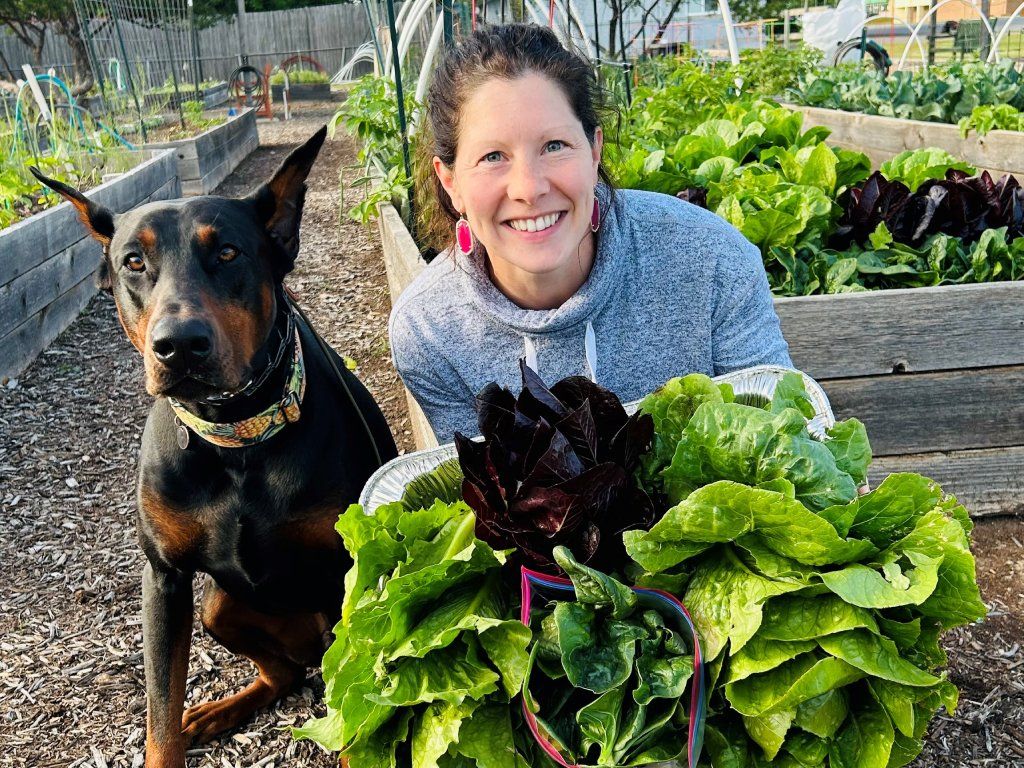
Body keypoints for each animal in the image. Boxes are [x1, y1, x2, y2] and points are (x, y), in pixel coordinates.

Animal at [34, 126, 397, 765]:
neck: (234, 439)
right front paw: (170, 736)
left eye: (228, 252)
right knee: (285, 674)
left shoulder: (346, 570)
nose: (179, 345)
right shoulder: (166, 579)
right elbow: (159, 710)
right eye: (133, 262)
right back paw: (212, 714)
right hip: (217, 606)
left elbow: (354, 702)